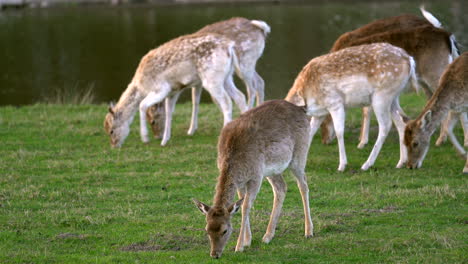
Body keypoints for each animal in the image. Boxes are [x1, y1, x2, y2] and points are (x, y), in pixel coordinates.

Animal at [103, 32, 249, 147]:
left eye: (111, 130)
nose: (114, 145)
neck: (140, 86)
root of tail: (230, 47)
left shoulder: (160, 88)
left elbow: (142, 105)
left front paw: (145, 138)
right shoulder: (173, 91)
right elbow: (169, 112)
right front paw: (164, 141)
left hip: (212, 79)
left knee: (227, 102)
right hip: (227, 77)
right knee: (240, 97)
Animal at [192, 100, 312, 258]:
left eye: (225, 230)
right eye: (207, 230)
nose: (215, 254)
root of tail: (301, 109)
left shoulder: (256, 176)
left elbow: (245, 206)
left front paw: (239, 246)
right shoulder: (241, 181)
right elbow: (242, 203)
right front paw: (247, 241)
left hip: (299, 155)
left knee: (303, 184)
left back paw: (308, 231)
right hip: (272, 170)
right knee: (281, 188)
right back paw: (268, 236)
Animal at [286, 42, 416, 171]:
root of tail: (409, 59)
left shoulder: (335, 102)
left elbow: (339, 132)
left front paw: (342, 165)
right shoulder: (321, 113)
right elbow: (310, 132)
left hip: (381, 96)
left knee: (385, 125)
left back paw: (367, 164)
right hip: (393, 98)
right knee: (401, 123)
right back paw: (401, 162)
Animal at [318, 7, 464, 150]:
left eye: (323, 115)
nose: (324, 140)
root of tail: (447, 35)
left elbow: (367, 109)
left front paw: (362, 142)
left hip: (437, 72)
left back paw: (448, 140)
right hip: (426, 81)